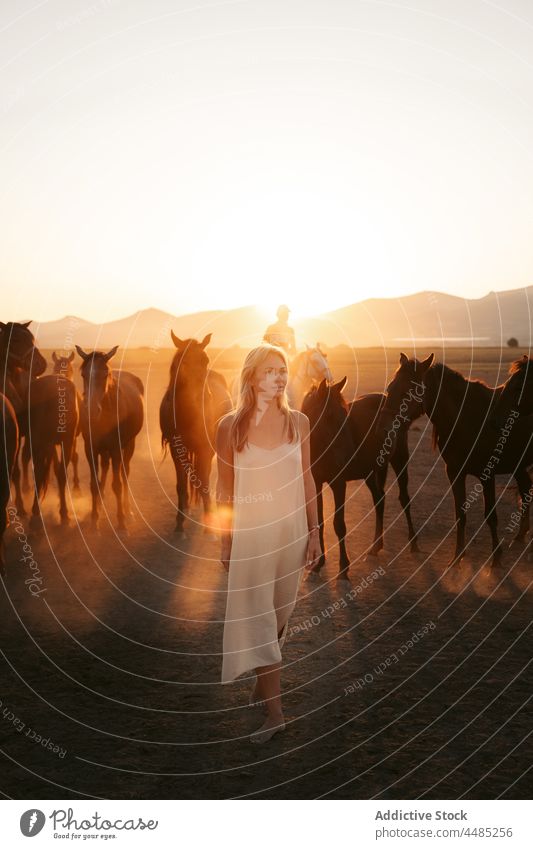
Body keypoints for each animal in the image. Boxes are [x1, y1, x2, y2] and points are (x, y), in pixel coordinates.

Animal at [159, 332, 232, 536]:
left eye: (205, 360)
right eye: (183, 362)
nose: (204, 397)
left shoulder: (205, 450)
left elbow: (204, 482)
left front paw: (209, 525)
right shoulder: (176, 450)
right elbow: (181, 486)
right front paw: (179, 522)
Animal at [302, 378, 418, 576]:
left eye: (345, 414)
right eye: (329, 416)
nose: (348, 455)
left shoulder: (339, 483)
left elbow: (339, 524)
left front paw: (343, 566)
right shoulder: (316, 484)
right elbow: (320, 522)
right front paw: (320, 563)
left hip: (399, 459)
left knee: (404, 498)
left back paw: (413, 542)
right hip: (370, 471)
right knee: (379, 499)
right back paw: (375, 546)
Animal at [380, 354, 532, 568]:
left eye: (408, 391)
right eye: (390, 388)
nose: (384, 428)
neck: (464, 418)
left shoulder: (487, 475)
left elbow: (491, 516)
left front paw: (496, 557)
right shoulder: (454, 473)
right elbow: (460, 513)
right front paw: (458, 555)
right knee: (526, 488)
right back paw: (520, 535)